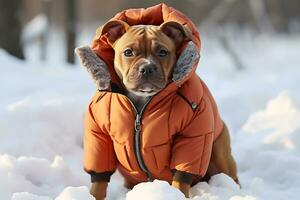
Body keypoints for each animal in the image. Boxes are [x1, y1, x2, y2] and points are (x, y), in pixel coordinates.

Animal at [75, 3, 239, 200]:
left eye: (162, 52)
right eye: (128, 52)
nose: (147, 67)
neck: (141, 104)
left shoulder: (192, 135)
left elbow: (181, 176)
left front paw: (177, 194)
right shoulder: (99, 136)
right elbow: (99, 179)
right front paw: (94, 195)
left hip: (219, 151)